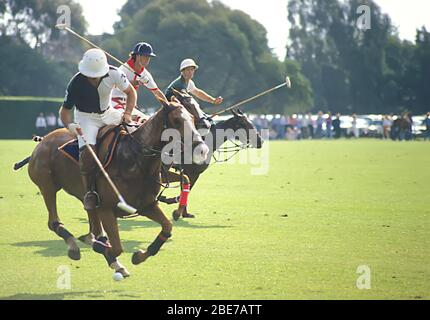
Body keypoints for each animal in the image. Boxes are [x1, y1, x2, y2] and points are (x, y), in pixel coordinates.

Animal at [22, 100, 207, 278]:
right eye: (176, 120)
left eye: (192, 118)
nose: (202, 149)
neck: (135, 160)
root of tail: (44, 139)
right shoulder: (106, 208)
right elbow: (117, 247)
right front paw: (101, 248)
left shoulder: (147, 205)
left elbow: (167, 227)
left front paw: (138, 256)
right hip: (47, 185)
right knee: (54, 221)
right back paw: (75, 246)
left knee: (91, 218)